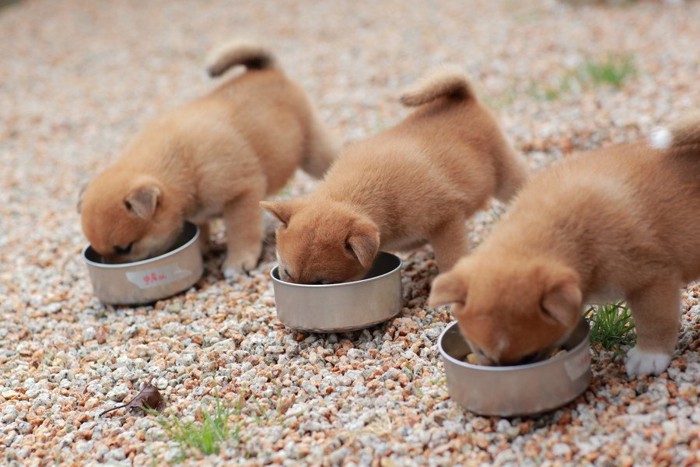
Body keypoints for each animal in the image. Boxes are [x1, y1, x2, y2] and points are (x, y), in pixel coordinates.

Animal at [80, 41, 338, 278]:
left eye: (125, 248)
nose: (109, 265)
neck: (181, 164)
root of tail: (267, 70)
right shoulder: (197, 212)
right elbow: (202, 228)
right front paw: (202, 248)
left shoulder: (241, 196)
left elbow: (241, 232)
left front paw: (238, 261)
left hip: (313, 151)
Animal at [262, 66, 524, 286]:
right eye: (286, 273)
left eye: (322, 283)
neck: (357, 194)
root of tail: (461, 96)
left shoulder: (446, 221)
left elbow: (450, 259)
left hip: (505, 175)